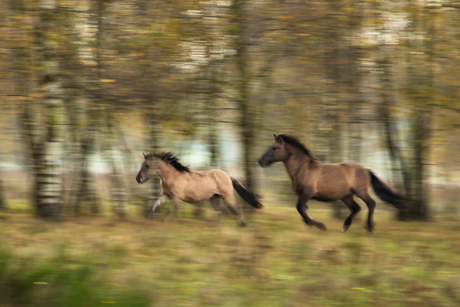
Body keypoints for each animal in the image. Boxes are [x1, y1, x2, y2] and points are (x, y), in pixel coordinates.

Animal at [256, 134, 404, 232]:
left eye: (274, 148)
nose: (260, 161)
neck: (303, 168)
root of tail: (366, 169)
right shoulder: (302, 194)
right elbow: (304, 209)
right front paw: (310, 226)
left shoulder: (308, 193)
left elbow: (299, 207)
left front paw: (319, 225)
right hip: (346, 196)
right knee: (356, 208)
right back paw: (345, 226)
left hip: (360, 191)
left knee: (371, 204)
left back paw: (369, 227)